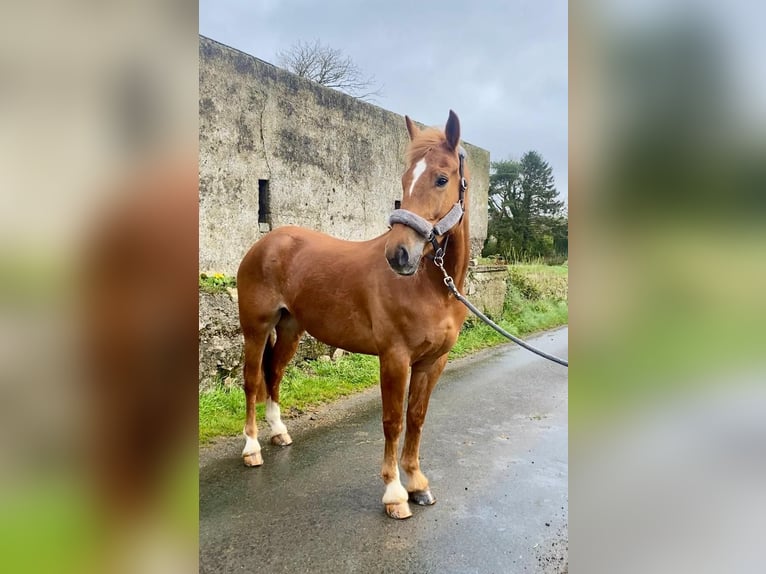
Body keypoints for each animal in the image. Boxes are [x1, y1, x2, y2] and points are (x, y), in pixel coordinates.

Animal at [237, 110, 472, 520]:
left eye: (442, 178)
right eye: (404, 179)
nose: (399, 255)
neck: (433, 287)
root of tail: (265, 243)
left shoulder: (433, 362)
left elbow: (417, 417)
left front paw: (417, 484)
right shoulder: (395, 358)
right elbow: (393, 421)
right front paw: (394, 493)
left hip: (291, 329)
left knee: (274, 375)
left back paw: (279, 432)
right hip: (256, 328)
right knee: (252, 381)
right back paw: (251, 448)